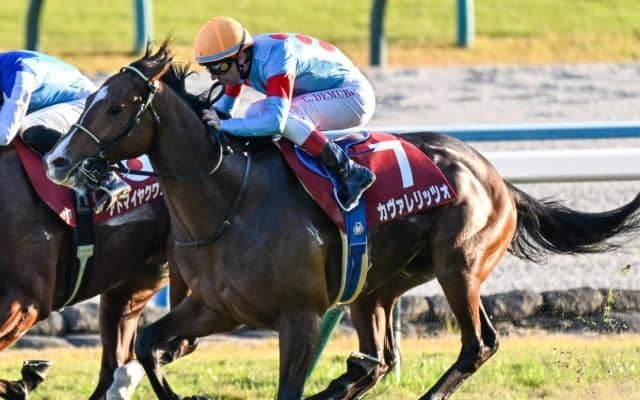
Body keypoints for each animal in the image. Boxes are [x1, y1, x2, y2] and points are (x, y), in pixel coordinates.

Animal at [0, 94, 197, 400]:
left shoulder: (23, 302)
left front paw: (25, 381)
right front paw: (24, 380)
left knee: (178, 342)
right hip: (132, 282)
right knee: (114, 362)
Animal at [44, 40, 640, 400]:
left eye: (115, 107)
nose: (58, 160)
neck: (227, 202)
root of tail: (495, 175)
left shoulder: (301, 316)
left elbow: (287, 388)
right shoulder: (215, 307)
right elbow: (147, 345)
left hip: (460, 266)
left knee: (478, 345)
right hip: (373, 288)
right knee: (379, 359)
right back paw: (348, 377)